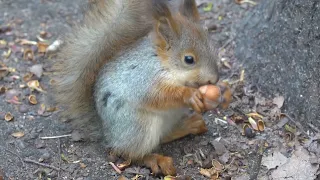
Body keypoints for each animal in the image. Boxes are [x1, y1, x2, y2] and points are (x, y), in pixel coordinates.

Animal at [53, 0, 231, 176]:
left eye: (212, 48)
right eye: (189, 59)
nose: (214, 78)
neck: (164, 63)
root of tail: (107, 134)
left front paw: (223, 91)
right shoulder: (143, 78)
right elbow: (160, 95)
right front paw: (190, 95)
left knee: (163, 136)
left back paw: (188, 125)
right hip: (139, 126)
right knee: (130, 153)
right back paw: (156, 160)